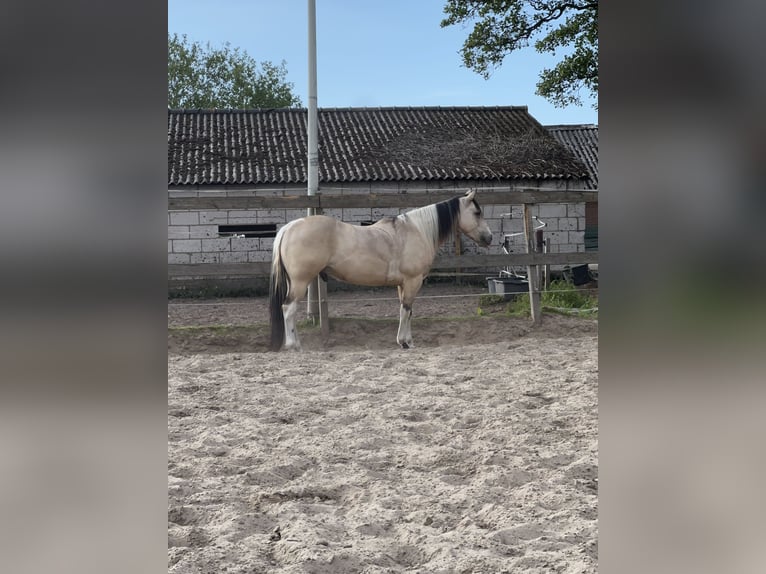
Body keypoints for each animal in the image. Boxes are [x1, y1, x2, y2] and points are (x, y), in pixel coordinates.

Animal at [268, 189, 493, 351]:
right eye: (477, 213)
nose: (489, 238)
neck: (416, 231)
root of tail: (289, 227)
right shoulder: (413, 281)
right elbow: (406, 310)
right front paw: (405, 342)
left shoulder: (402, 284)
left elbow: (406, 311)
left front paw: (407, 341)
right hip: (300, 281)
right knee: (288, 309)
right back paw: (294, 345)